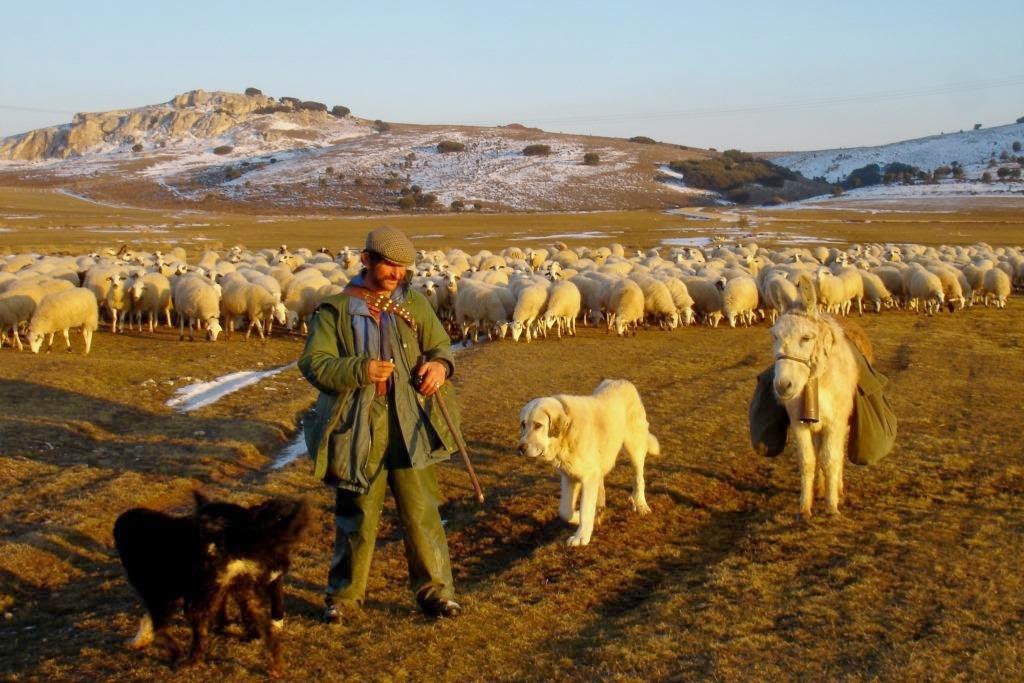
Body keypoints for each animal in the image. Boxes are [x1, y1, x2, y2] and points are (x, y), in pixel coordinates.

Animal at [113, 492, 309, 677]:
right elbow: (153, 622)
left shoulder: (160, 596)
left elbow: (160, 629)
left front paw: (172, 652)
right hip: (245, 594)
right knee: (267, 632)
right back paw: (274, 665)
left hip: (201, 601)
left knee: (200, 640)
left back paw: (191, 662)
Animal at [517, 379, 659, 546]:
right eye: (523, 425)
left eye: (538, 425)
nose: (520, 448)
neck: (567, 432)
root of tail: (621, 381)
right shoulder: (569, 477)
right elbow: (565, 511)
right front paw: (578, 517)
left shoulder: (588, 477)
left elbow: (585, 509)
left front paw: (581, 537)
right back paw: (600, 510)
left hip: (634, 446)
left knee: (638, 477)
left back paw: (641, 504)